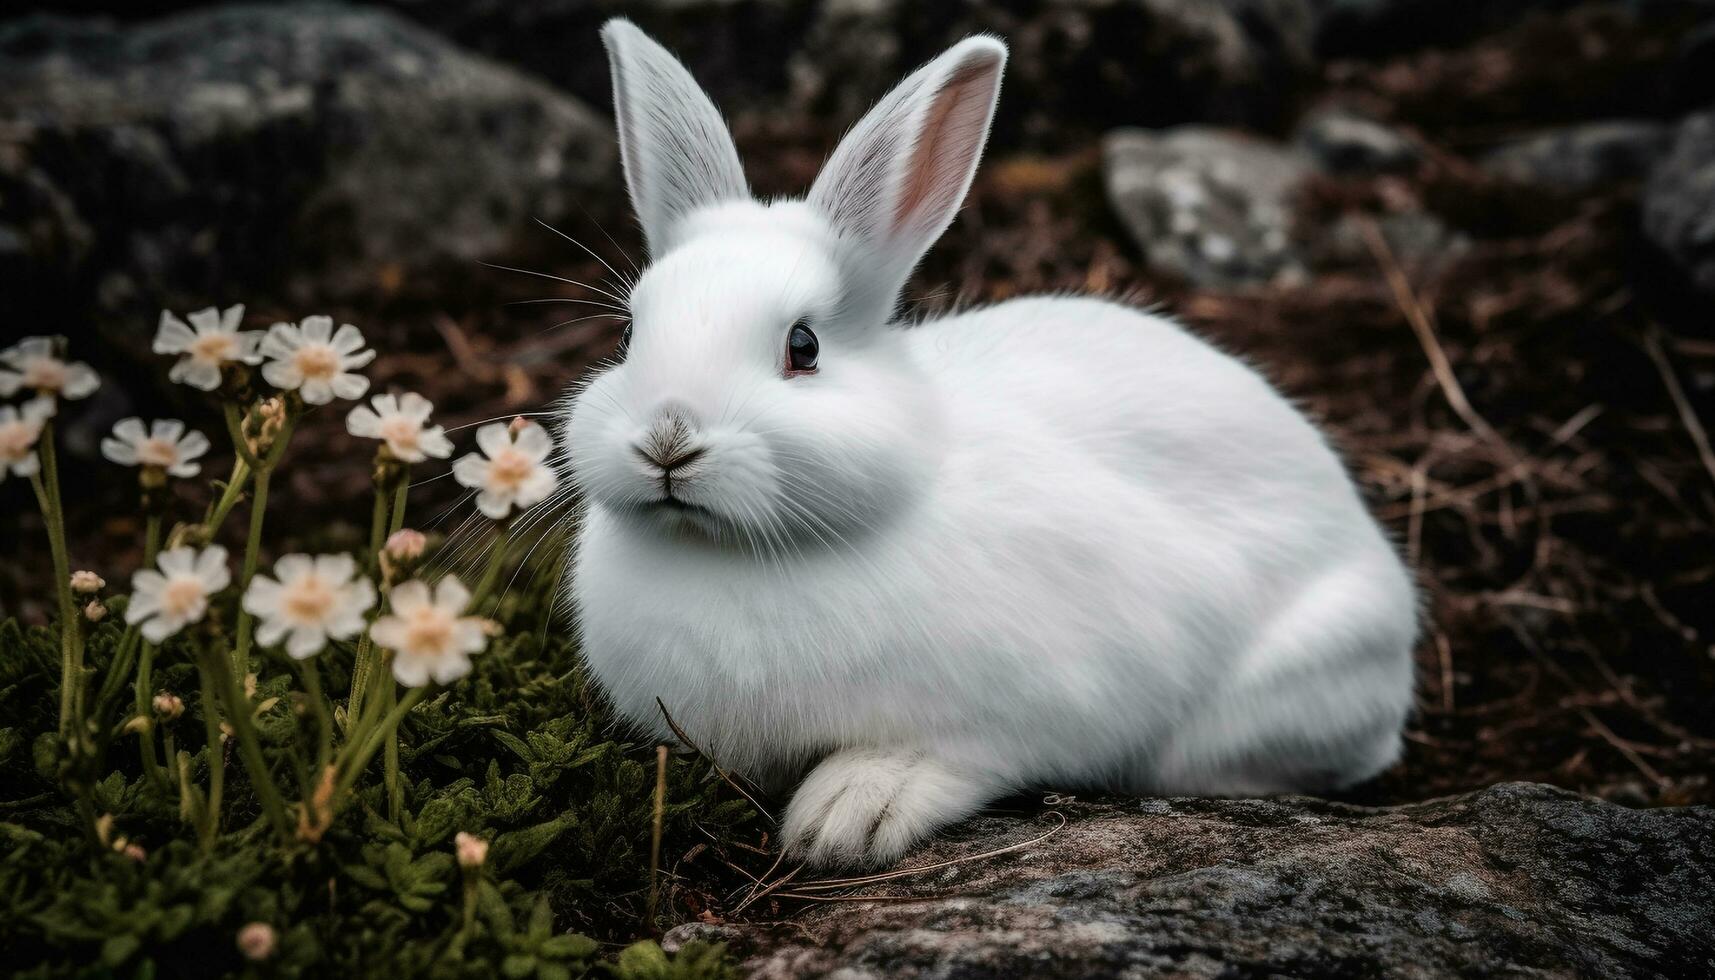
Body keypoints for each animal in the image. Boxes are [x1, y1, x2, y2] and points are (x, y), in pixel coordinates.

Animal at [562, 21, 1420, 865]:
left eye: (803, 347)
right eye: (630, 334)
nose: (667, 439)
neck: (736, 551)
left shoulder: (1051, 700)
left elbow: (962, 754)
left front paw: (846, 815)